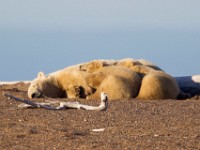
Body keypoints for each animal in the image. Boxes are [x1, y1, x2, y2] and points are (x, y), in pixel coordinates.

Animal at [28, 58, 184, 100]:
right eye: (28, 93)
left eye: (34, 85)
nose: (33, 95)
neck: (58, 80)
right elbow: (71, 92)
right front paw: (77, 91)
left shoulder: (69, 73)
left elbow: (81, 77)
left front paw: (84, 89)